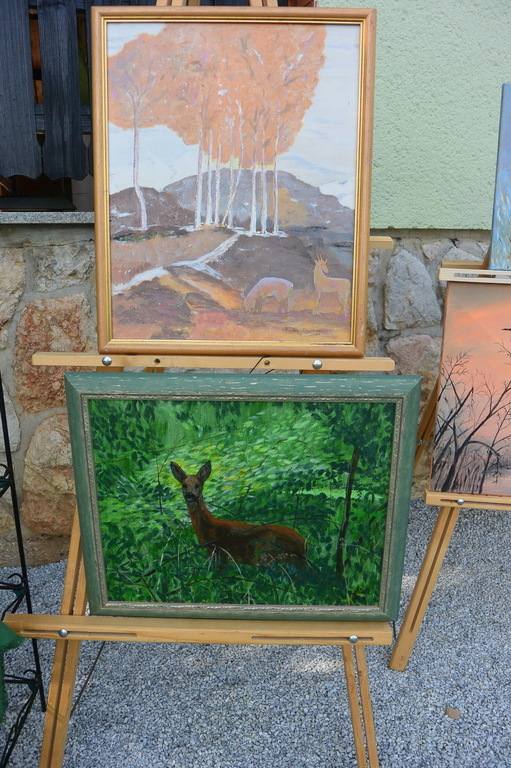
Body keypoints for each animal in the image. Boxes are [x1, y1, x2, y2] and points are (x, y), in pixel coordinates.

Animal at [170, 460, 307, 568]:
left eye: (197, 485)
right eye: (184, 485)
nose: (189, 495)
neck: (209, 529)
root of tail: (304, 545)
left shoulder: (219, 553)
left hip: (265, 555)